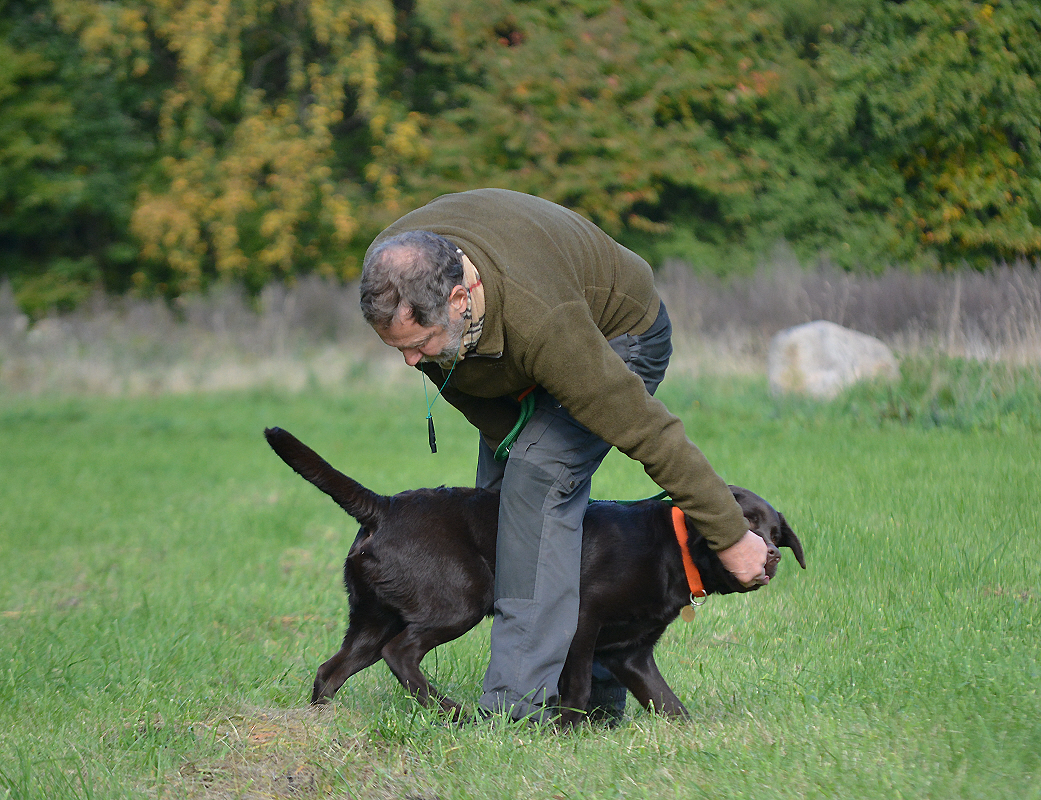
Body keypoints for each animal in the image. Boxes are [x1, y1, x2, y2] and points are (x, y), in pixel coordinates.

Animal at [262, 429, 803, 720]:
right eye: (745, 523)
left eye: (776, 532)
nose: (770, 556)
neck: (670, 547)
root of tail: (383, 505)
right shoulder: (581, 624)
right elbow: (578, 689)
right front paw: (566, 732)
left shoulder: (632, 655)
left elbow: (670, 705)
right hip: (460, 598)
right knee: (401, 654)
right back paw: (451, 711)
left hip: (372, 619)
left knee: (331, 669)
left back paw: (321, 721)